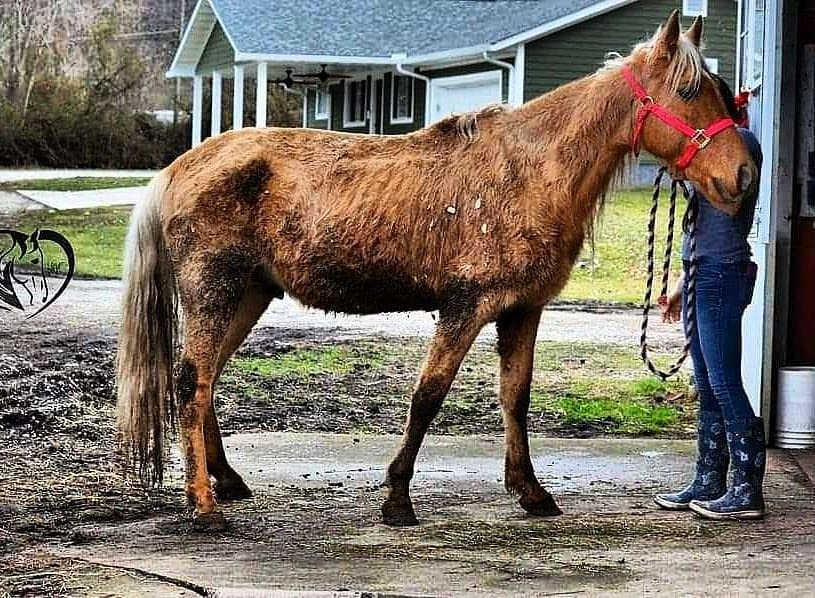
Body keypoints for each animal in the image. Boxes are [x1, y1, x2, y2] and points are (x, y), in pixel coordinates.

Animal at [115, 12, 760, 528]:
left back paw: (227, 482)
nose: (744, 175)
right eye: (691, 89)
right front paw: (397, 497)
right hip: (214, 291)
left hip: (249, 295)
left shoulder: (522, 311)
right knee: (191, 383)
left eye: (723, 89)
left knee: (206, 381)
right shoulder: (464, 308)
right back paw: (205, 508)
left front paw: (530, 491)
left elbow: (515, 397)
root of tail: (178, 168)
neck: (532, 173)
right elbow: (428, 397)